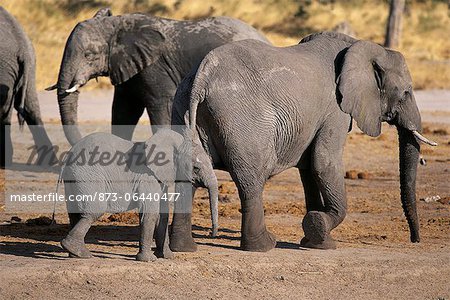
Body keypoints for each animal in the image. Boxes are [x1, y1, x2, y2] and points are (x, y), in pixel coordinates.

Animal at [47, 7, 268, 146]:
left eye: (88, 55)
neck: (117, 24)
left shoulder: (155, 68)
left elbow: (160, 106)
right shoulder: (128, 67)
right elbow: (123, 110)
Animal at [60, 127, 220, 262]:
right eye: (196, 168)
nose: (211, 234)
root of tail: (68, 156)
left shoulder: (161, 178)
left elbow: (163, 215)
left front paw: (167, 257)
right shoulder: (147, 178)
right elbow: (150, 214)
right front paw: (148, 260)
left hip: (74, 178)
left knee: (75, 213)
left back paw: (74, 254)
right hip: (87, 175)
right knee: (95, 210)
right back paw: (80, 252)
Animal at [171, 31, 438, 252]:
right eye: (406, 92)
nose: (415, 240)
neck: (358, 46)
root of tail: (202, 76)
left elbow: (309, 169)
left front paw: (313, 241)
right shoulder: (335, 110)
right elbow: (324, 162)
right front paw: (321, 231)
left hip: (181, 107)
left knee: (190, 176)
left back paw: (184, 249)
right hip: (241, 120)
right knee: (251, 180)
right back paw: (264, 246)